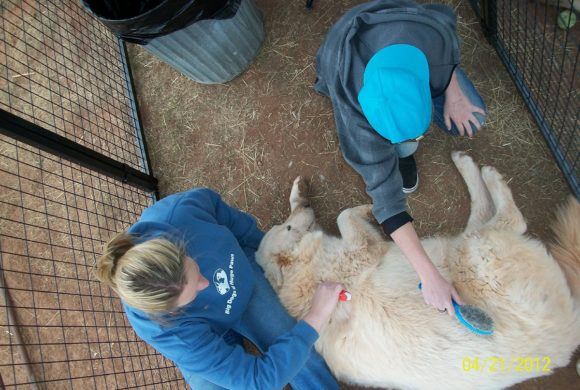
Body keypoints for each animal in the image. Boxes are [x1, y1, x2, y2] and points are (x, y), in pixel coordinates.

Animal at [256, 152, 576, 390]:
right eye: (288, 227)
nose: (309, 205)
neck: (305, 274)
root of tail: (568, 335)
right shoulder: (364, 250)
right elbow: (344, 215)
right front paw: (368, 208)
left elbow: (342, 215)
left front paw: (300, 195)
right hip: (472, 252)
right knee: (512, 219)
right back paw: (486, 173)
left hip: (459, 247)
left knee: (484, 213)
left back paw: (466, 164)